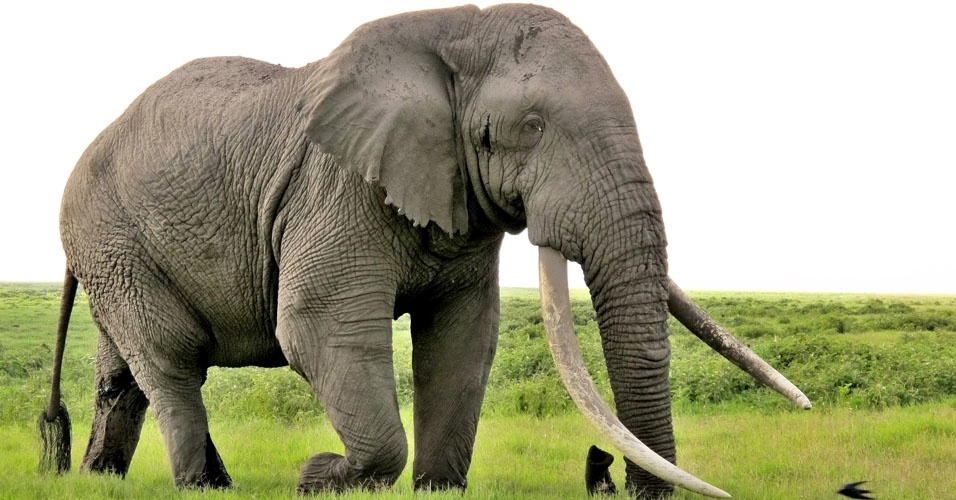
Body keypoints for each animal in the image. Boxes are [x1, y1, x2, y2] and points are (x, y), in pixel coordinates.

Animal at [38, 4, 810, 498]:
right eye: (528, 128)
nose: (611, 476)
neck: (454, 31)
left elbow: (463, 339)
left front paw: (438, 489)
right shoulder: (337, 186)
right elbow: (319, 328)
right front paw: (319, 477)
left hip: (117, 250)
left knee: (122, 374)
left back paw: (106, 478)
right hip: (112, 237)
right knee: (171, 359)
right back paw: (203, 486)